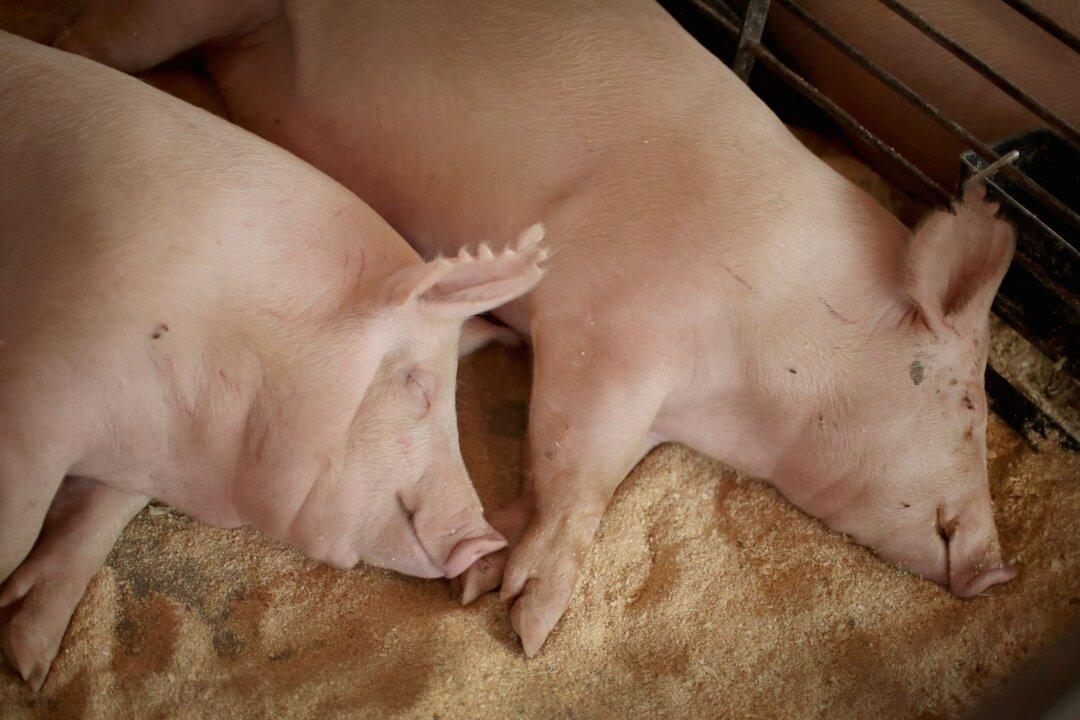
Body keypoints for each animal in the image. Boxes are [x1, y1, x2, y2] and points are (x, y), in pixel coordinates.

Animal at [0, 30, 545, 690]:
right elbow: (17, 528)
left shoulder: (133, 459)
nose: (487, 540)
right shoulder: (35, 404)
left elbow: (95, 518)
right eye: (418, 385)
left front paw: (30, 668)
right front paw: (26, 677)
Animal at [58, 0, 1018, 658]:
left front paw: (481, 572)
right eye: (969, 409)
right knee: (89, 44)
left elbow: (563, 476)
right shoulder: (606, 329)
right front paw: (530, 628)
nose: (1001, 571)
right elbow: (574, 474)